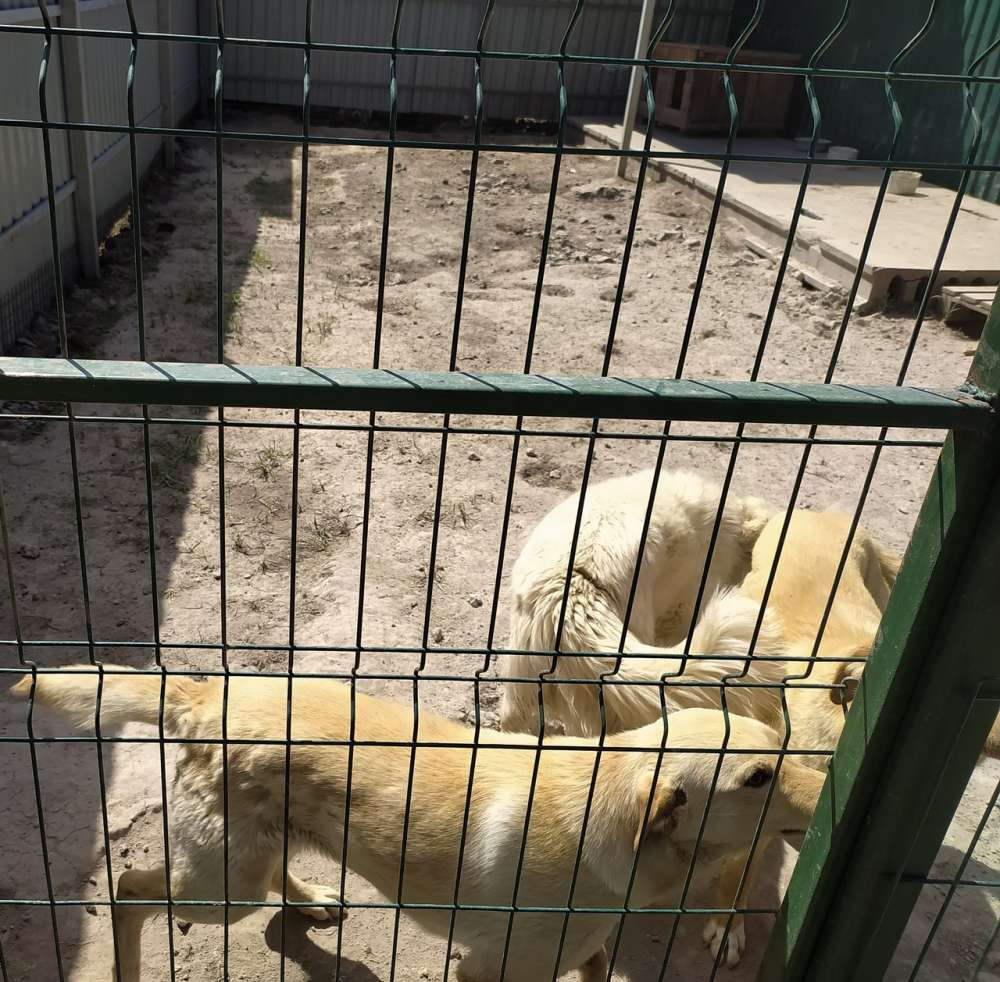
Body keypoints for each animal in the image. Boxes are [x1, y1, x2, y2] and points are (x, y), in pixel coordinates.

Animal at [10, 668, 823, 982]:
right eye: (756, 778)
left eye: (781, 751)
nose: (830, 783)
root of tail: (211, 691)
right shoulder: (487, 970)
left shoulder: (586, 955)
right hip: (220, 886)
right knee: (127, 888)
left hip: (249, 858)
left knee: (270, 892)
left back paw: (309, 900)